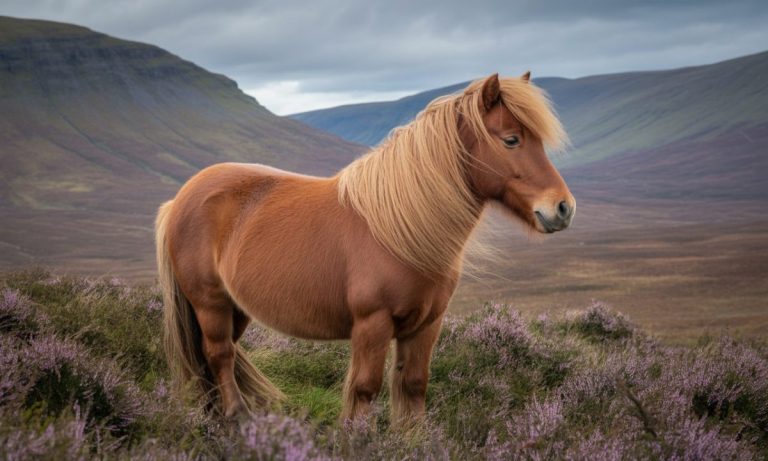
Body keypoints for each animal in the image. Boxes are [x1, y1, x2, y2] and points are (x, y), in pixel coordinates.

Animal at [155, 72, 575, 423]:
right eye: (511, 139)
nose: (563, 208)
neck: (401, 230)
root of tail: (180, 199)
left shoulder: (426, 325)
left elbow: (414, 385)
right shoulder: (373, 324)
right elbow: (365, 390)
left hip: (236, 308)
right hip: (210, 304)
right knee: (219, 355)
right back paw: (238, 418)